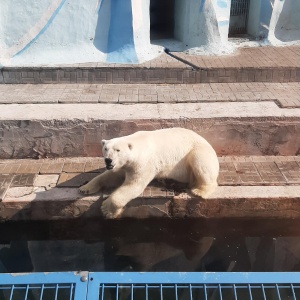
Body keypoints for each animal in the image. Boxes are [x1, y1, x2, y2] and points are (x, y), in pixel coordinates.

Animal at [79, 126, 219, 218]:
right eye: (106, 148)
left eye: (118, 150)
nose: (108, 160)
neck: (137, 144)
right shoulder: (122, 166)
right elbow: (110, 176)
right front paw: (85, 188)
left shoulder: (143, 163)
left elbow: (133, 185)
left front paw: (106, 210)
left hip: (197, 152)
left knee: (200, 163)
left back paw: (199, 190)